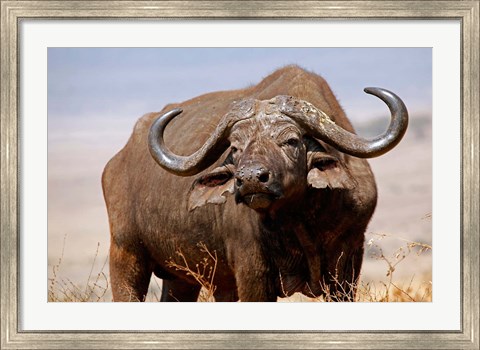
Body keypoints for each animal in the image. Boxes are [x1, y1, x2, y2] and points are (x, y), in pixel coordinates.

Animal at [102, 65, 408, 300]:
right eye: (236, 147)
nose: (250, 179)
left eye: (291, 140)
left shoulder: (347, 264)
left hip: (182, 279)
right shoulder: (252, 273)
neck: (300, 222)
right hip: (125, 256)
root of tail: (117, 162)